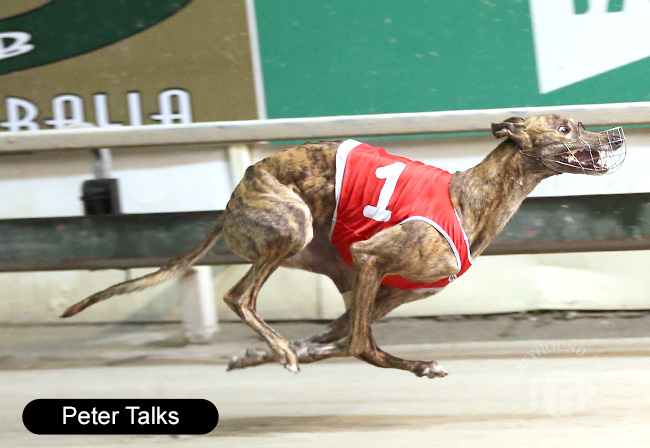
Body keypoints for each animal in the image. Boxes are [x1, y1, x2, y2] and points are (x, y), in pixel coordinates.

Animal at [62, 114, 626, 378]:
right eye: (566, 127)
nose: (617, 137)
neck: (470, 197)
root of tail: (231, 198)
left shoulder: (381, 289)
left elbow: (333, 339)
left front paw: (257, 356)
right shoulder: (371, 259)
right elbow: (357, 346)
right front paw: (417, 365)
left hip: (325, 259)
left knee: (313, 327)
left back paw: (275, 350)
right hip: (293, 229)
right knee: (240, 297)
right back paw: (281, 349)